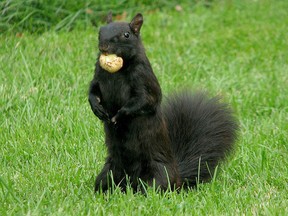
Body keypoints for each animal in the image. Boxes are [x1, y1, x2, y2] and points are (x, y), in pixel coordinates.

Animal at [89, 13, 237, 192]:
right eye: (100, 31)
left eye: (126, 35)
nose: (103, 46)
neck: (119, 70)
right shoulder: (98, 74)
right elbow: (93, 89)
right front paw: (96, 107)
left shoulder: (144, 79)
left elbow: (145, 101)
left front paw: (120, 115)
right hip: (109, 172)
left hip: (158, 174)